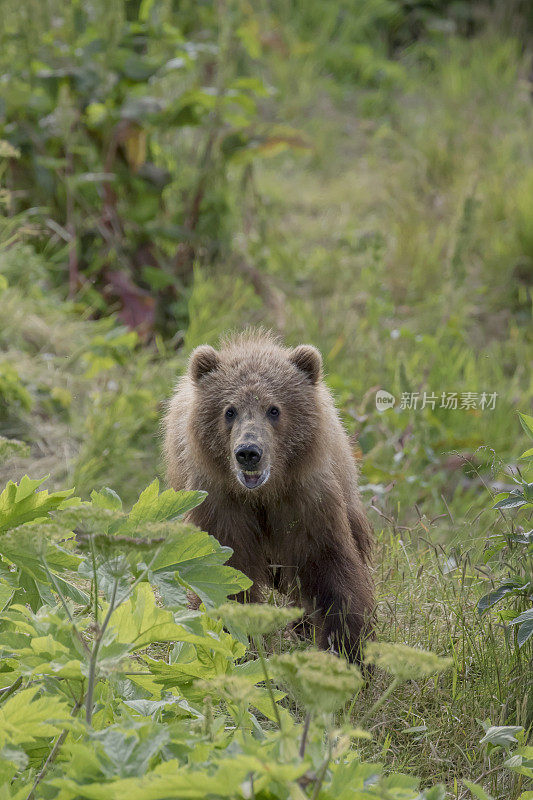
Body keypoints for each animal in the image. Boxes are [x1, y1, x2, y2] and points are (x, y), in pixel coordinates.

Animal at [162, 328, 374, 660]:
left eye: (274, 409)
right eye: (230, 410)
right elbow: (224, 574)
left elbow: (331, 569)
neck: (262, 495)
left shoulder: (306, 503)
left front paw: (346, 648)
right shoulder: (222, 506)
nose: (249, 452)